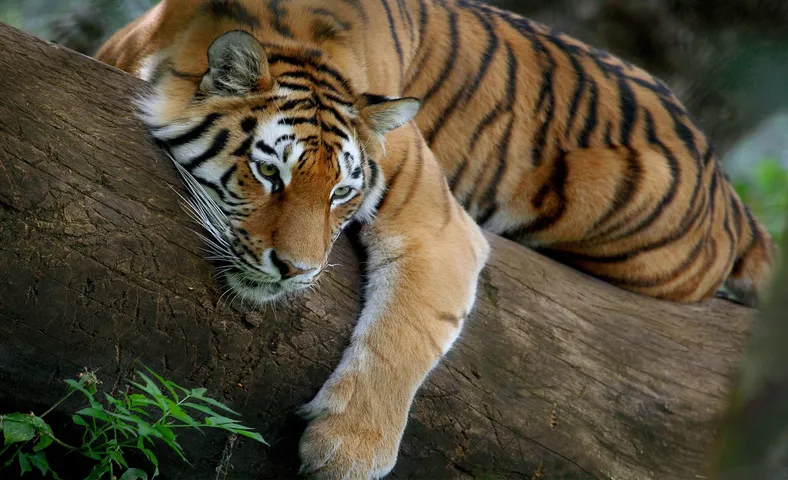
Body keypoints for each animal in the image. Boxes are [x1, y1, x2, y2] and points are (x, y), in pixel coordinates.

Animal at [95, 0, 777, 478]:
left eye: (341, 193)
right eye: (269, 173)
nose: (296, 270)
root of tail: (728, 189)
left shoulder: (440, 224)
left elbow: (406, 331)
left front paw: (349, 452)